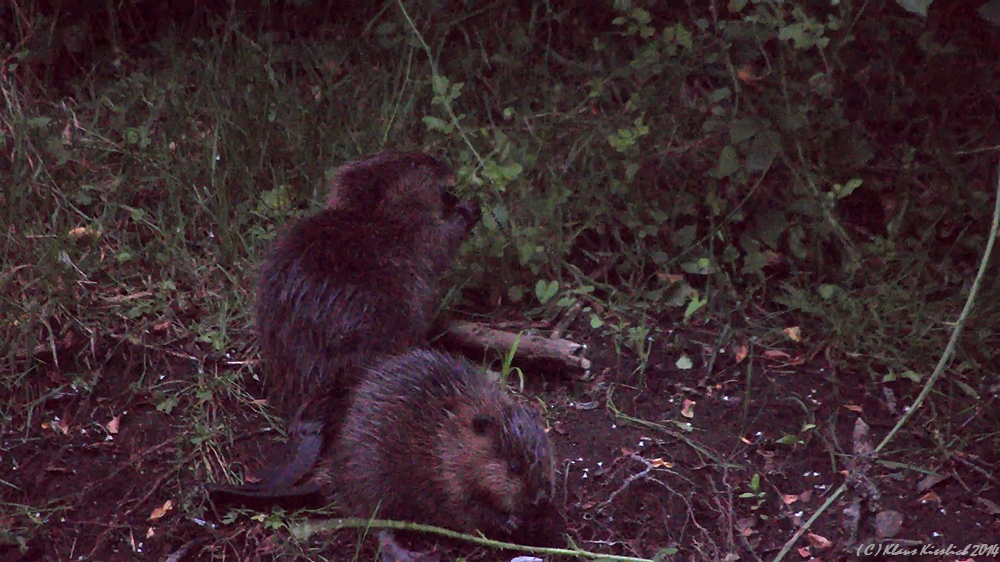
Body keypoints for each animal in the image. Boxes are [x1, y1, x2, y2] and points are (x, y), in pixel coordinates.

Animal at [207, 149, 480, 498]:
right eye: (416, 163)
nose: (446, 165)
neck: (374, 216)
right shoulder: (417, 234)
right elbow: (442, 244)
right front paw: (469, 208)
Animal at [330, 348, 560, 556]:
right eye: (513, 467)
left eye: (546, 459)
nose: (541, 500)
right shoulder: (446, 474)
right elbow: (465, 511)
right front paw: (510, 521)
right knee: (375, 524)